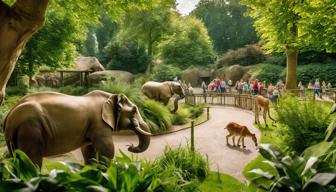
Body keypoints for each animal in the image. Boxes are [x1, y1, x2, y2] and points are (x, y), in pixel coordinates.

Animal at [3, 90, 151, 168]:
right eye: (134, 110)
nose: (130, 146)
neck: (110, 96)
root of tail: (9, 117)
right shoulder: (99, 124)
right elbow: (107, 150)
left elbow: (88, 150)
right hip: (31, 130)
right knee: (32, 161)